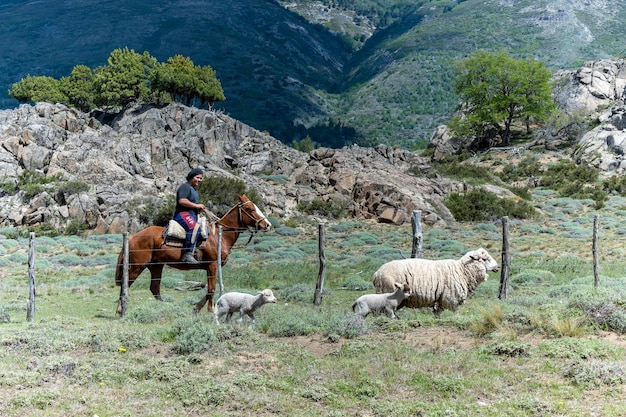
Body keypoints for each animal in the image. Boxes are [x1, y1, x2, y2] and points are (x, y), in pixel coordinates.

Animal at [114, 193, 270, 314]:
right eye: (250, 209)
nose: (267, 225)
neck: (219, 236)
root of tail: (133, 237)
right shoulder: (212, 265)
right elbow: (211, 288)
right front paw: (210, 309)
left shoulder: (211, 268)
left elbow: (208, 290)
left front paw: (197, 308)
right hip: (137, 266)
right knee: (125, 286)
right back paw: (121, 310)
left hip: (156, 266)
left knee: (154, 288)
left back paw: (165, 307)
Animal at [370, 247, 498, 316]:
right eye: (485, 259)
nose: (498, 267)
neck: (462, 271)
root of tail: (376, 274)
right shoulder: (451, 300)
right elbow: (456, 314)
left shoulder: (439, 301)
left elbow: (437, 315)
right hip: (386, 294)